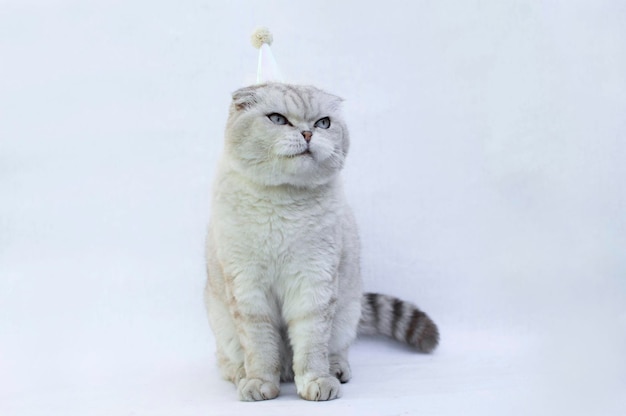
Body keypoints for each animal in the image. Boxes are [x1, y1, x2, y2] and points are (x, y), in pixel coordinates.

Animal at [202, 81, 436, 400]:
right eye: (277, 119)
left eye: (323, 123)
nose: (307, 134)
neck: (282, 202)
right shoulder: (248, 286)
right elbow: (260, 348)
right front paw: (260, 384)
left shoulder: (314, 280)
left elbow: (311, 344)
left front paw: (317, 383)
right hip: (220, 320)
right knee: (228, 359)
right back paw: (241, 374)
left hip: (348, 312)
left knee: (336, 351)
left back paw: (335, 371)